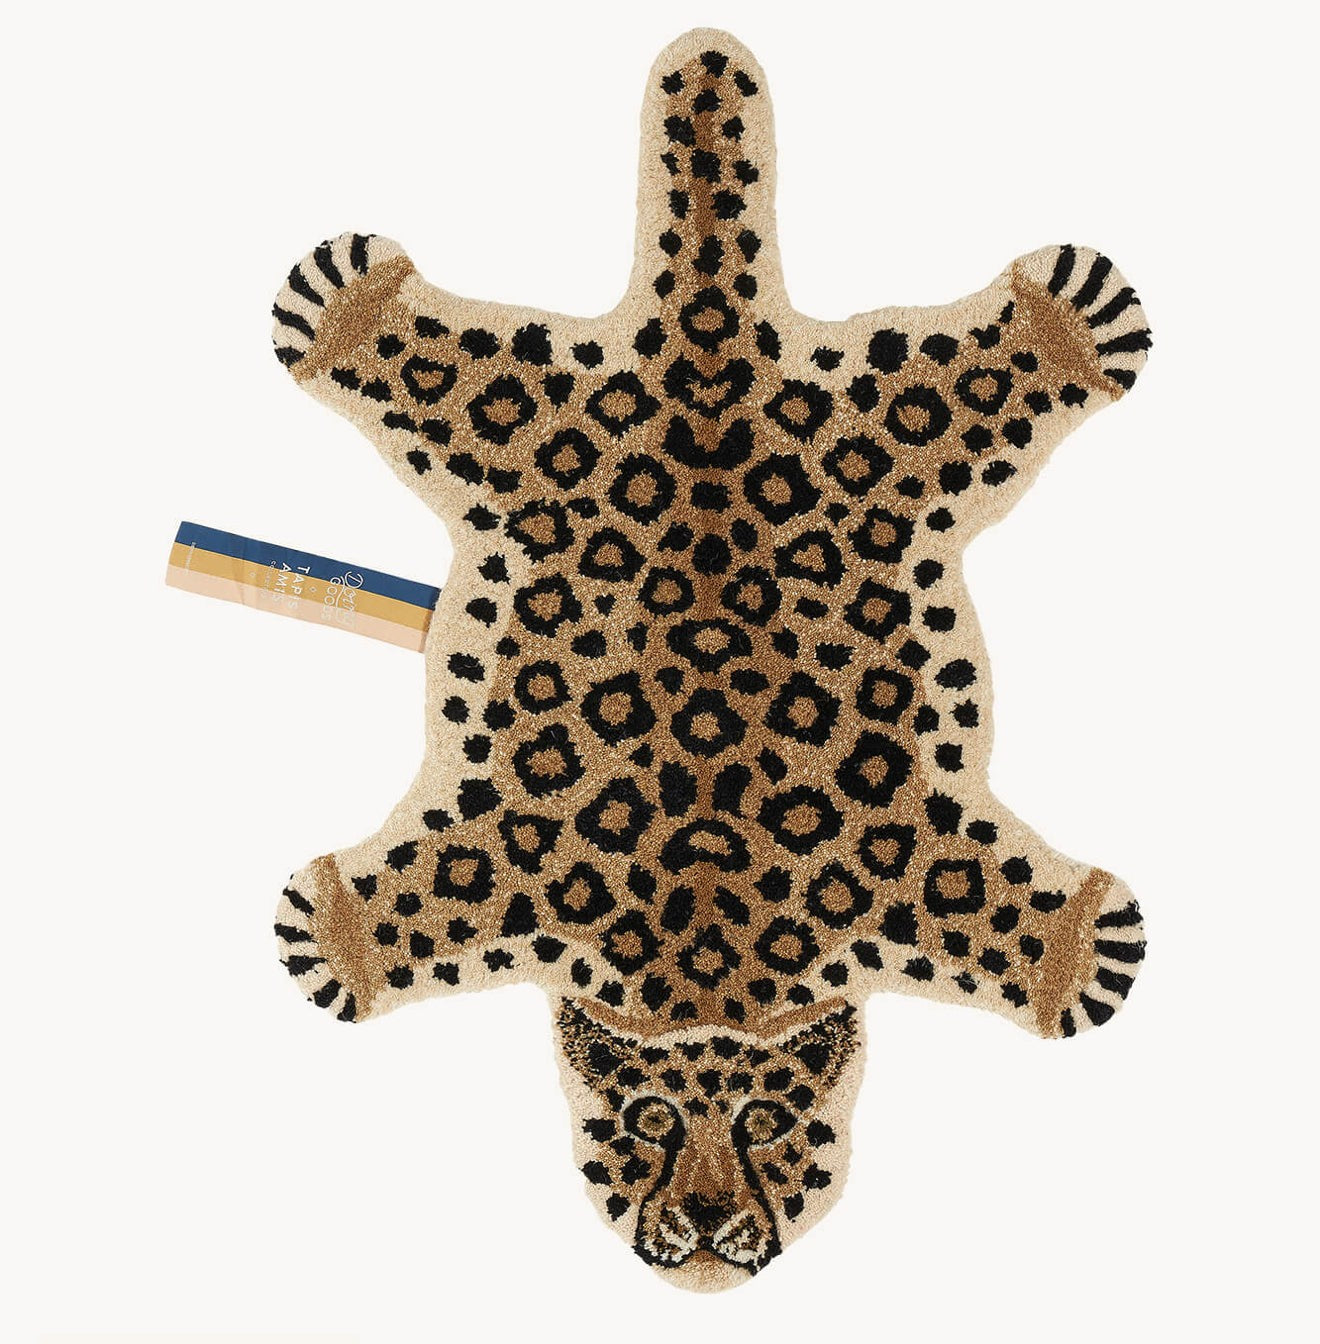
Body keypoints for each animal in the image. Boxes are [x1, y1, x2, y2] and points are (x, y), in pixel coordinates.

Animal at [269, 28, 1150, 1289]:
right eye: (644, 1122)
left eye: (770, 1123)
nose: (700, 1234)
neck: (709, 966)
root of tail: (708, 352)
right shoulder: (513, 858)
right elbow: (425, 904)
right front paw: (340, 929)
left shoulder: (905, 869)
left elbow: (987, 910)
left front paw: (1073, 945)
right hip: (526, 419)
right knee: (442, 363)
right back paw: (349, 304)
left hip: (891, 429)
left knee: (971, 377)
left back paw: (1069, 321)